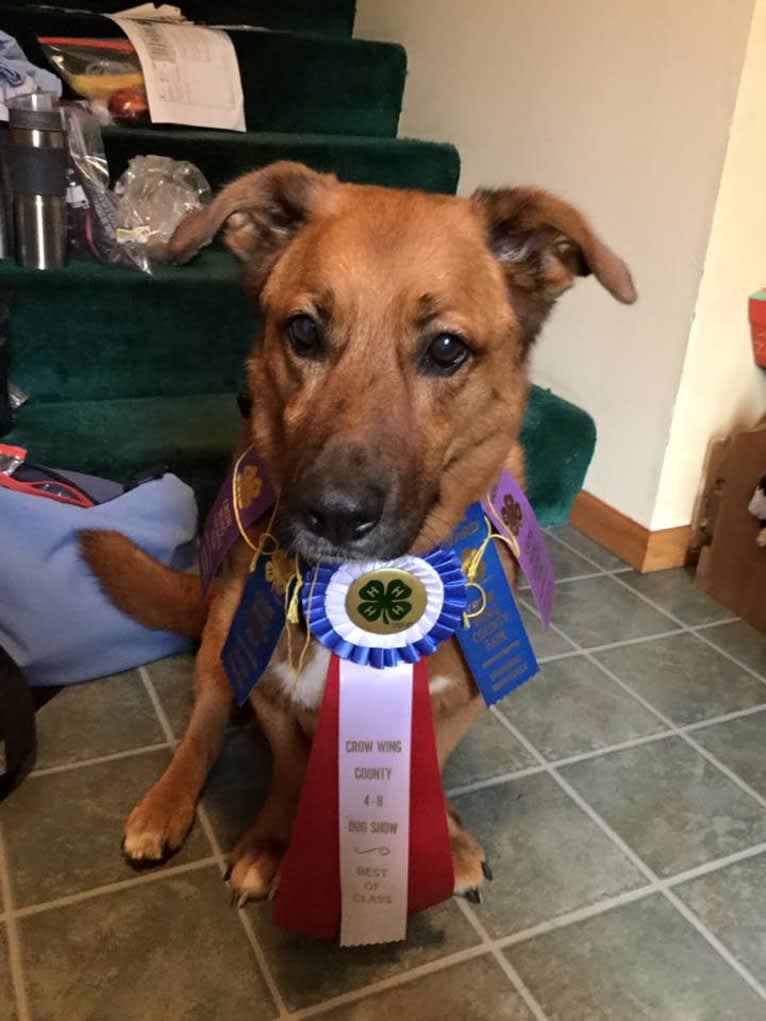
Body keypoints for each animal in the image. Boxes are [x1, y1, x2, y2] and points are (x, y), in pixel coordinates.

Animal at [82, 161, 637, 910]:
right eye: (304, 331)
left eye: (446, 348)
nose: (334, 515)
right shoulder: (271, 683)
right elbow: (289, 769)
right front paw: (273, 843)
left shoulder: (456, 700)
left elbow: (432, 767)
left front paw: (444, 836)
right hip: (225, 628)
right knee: (203, 725)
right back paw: (165, 803)